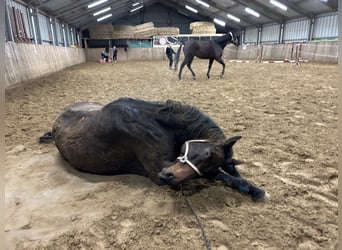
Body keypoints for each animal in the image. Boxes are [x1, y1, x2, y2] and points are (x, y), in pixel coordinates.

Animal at [40, 96, 268, 202]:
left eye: (209, 157)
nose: (167, 175)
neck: (156, 122)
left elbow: (228, 173)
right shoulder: (158, 169)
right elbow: (220, 176)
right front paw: (254, 190)